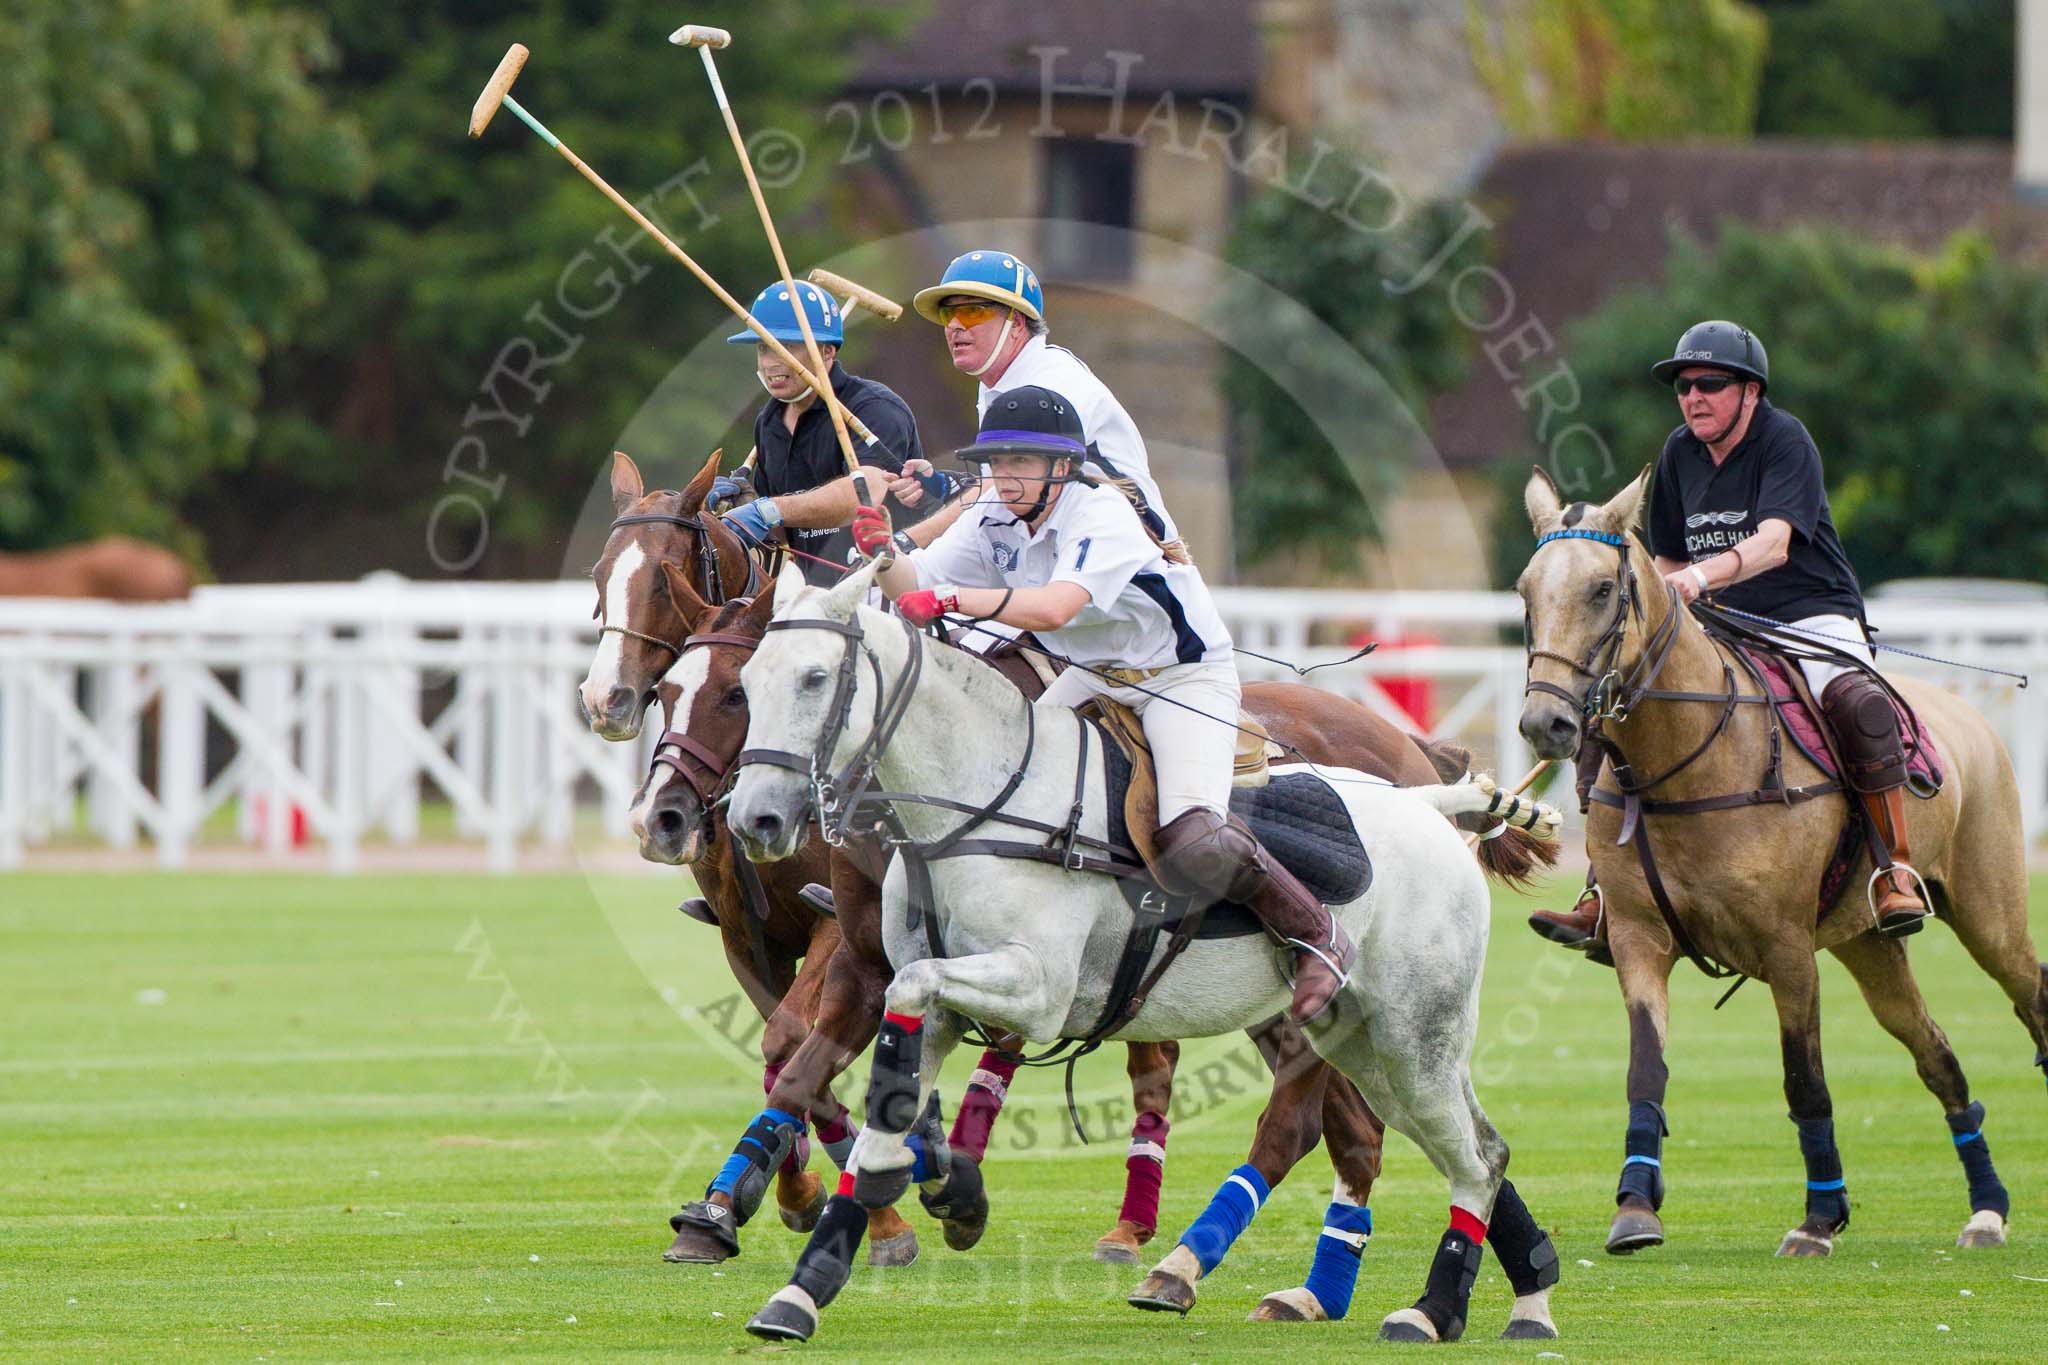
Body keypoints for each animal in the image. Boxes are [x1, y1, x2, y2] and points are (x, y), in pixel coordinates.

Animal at [1515, 470, 2039, 1260]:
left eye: (1605, 589)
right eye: (1524, 591)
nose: (1545, 724)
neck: (1681, 763)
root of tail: (1970, 714)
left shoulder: (1787, 948)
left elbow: (1805, 1079)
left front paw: (1819, 1218)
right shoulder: (1638, 937)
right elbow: (1646, 1068)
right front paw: (1635, 1206)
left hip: (1990, 911)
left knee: (2031, 996)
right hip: (1867, 941)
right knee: (1937, 1053)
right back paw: (1986, 1208)